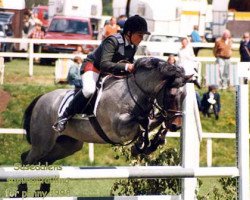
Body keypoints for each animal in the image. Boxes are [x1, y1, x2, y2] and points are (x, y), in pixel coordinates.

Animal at [17, 56, 188, 197]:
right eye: (171, 95)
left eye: (184, 96)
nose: (176, 125)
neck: (135, 92)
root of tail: (41, 98)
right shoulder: (118, 128)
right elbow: (143, 122)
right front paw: (142, 145)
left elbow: (155, 121)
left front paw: (153, 142)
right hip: (43, 143)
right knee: (27, 160)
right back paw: (22, 191)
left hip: (67, 146)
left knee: (44, 162)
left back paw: (42, 190)